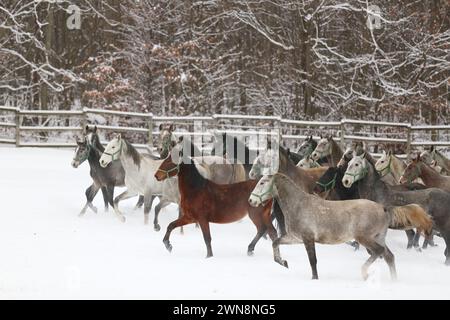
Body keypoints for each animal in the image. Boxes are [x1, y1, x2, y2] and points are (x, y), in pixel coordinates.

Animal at [250, 172, 398, 280]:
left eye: (262, 182)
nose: (251, 200)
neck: (298, 205)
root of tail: (382, 208)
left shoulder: (308, 239)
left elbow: (313, 261)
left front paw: (314, 279)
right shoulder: (295, 238)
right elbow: (275, 243)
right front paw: (283, 262)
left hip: (364, 238)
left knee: (379, 251)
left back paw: (365, 273)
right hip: (378, 237)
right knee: (389, 256)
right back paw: (393, 280)